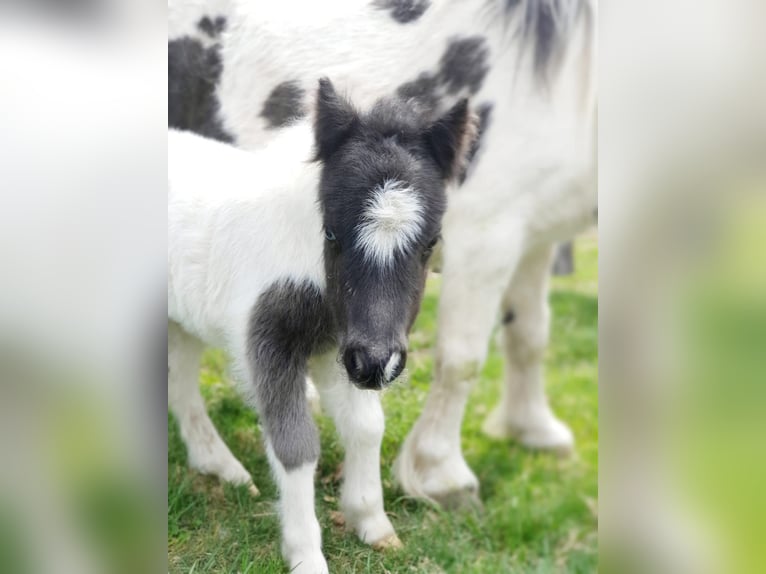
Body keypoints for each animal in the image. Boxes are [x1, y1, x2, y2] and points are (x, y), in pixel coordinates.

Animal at [168, 0, 597, 508]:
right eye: (330, 233)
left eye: (429, 242)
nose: (372, 365)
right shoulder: (488, 233)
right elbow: (463, 358)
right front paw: (442, 475)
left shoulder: (536, 237)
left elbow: (529, 334)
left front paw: (532, 429)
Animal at [168, 78, 478, 573]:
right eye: (331, 233)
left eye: (430, 243)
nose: (377, 366)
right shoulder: (273, 343)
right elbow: (296, 445)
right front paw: (306, 555)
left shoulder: (342, 346)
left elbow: (367, 426)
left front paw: (372, 523)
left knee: (179, 384)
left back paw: (223, 469)